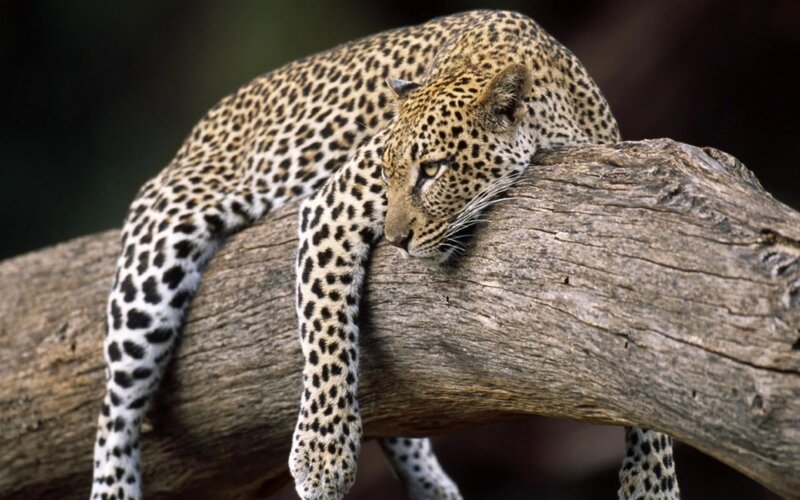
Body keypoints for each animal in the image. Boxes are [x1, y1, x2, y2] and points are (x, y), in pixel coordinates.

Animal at [90, 9, 679, 500]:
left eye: (434, 170)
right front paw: (322, 456)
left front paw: (651, 481)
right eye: (386, 172)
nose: (397, 240)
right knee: (116, 407)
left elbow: (640, 359)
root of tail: (199, 129)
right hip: (157, 257)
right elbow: (327, 328)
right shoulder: (332, 204)